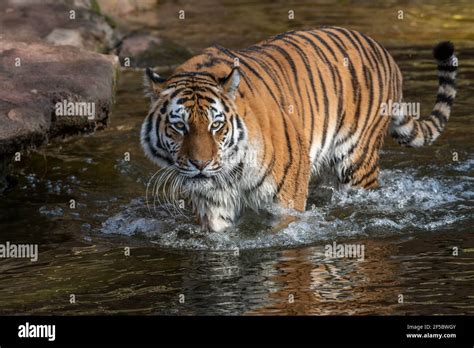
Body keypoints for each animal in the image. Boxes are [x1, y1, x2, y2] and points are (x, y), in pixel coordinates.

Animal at [140, 27, 456, 232]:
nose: (200, 165)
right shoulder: (214, 208)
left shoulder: (286, 200)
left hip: (357, 162)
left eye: (215, 125)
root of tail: (382, 49)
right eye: (179, 127)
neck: (232, 171)